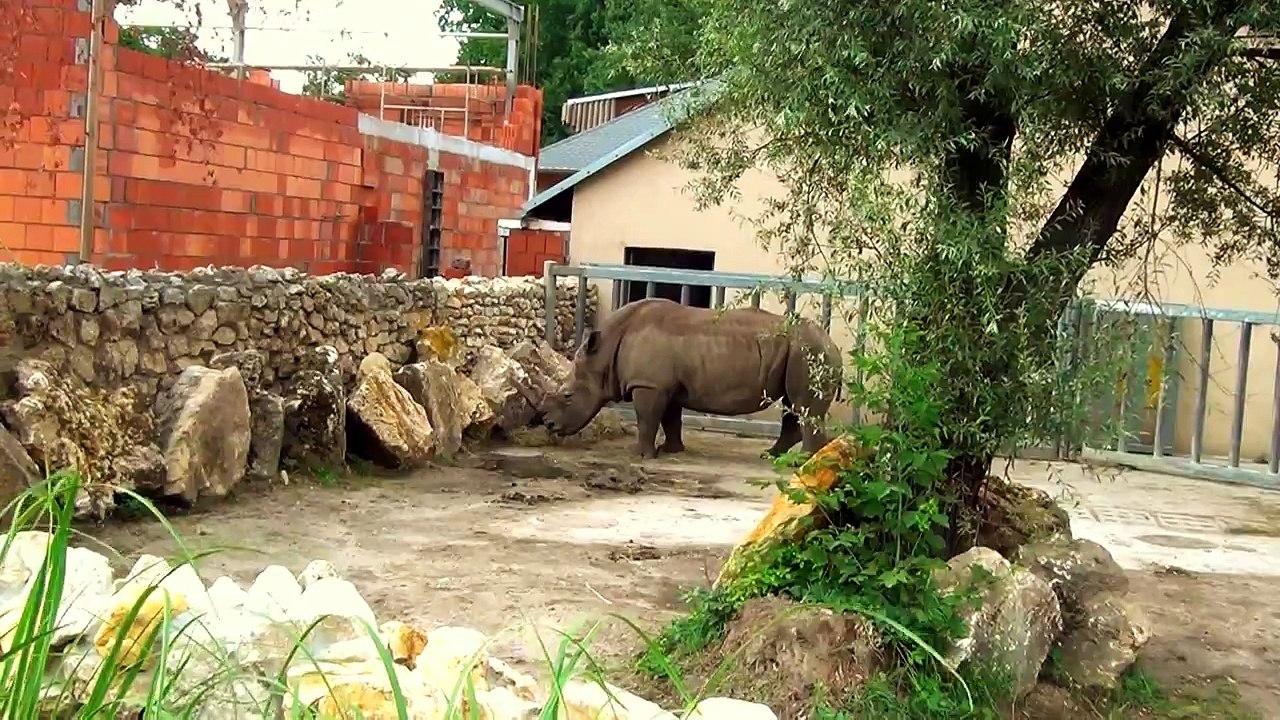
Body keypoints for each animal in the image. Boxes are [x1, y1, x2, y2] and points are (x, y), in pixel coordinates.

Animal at [543, 297, 844, 459]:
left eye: (567, 395)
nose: (548, 425)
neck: (603, 355)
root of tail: (834, 344)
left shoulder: (649, 384)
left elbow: (646, 419)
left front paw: (639, 455)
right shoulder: (666, 386)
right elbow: (670, 418)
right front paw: (670, 451)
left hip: (810, 353)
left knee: (801, 404)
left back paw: (803, 461)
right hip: (803, 352)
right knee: (792, 404)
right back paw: (774, 456)